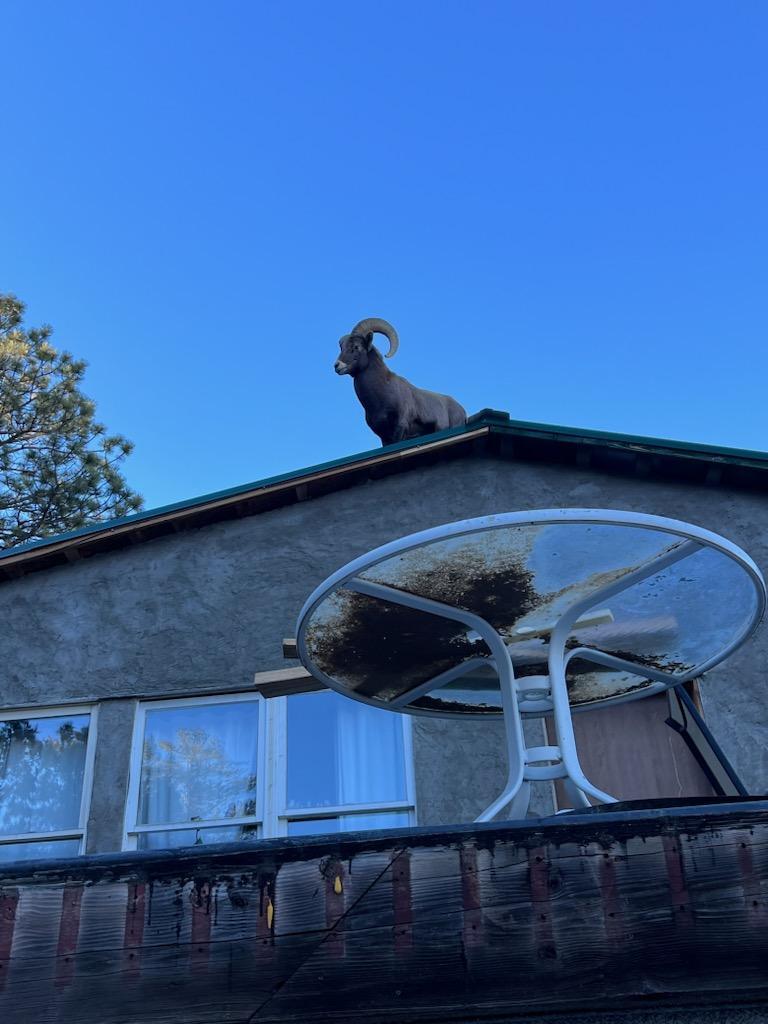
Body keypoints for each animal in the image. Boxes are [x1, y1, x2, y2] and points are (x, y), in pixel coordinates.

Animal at [334, 318, 467, 446]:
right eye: (342, 347)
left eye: (356, 346)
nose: (337, 366)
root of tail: (462, 411)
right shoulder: (384, 438)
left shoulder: (400, 428)